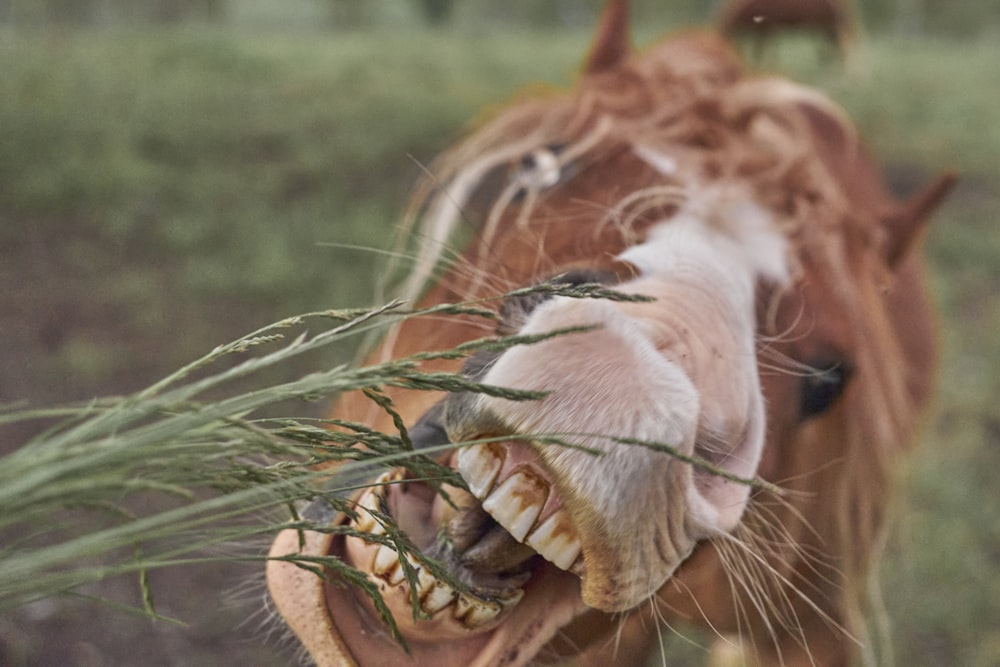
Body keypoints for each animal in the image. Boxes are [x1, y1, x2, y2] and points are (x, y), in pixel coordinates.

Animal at [716, 0, 856, 62]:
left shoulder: (767, 27)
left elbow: (762, 51)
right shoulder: (766, 29)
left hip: (831, 24)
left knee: (844, 46)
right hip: (827, 26)